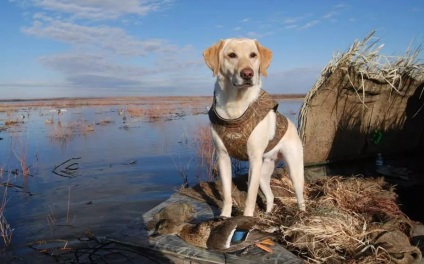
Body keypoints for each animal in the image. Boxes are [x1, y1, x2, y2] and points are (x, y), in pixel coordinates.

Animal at [203, 38, 304, 217]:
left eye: (253, 55)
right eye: (231, 55)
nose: (248, 73)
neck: (236, 106)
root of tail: (291, 124)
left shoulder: (254, 158)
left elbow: (250, 196)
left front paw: (248, 217)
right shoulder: (223, 157)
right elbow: (227, 194)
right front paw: (225, 216)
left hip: (293, 169)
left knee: (301, 196)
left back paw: (302, 214)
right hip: (263, 173)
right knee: (270, 196)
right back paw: (268, 214)